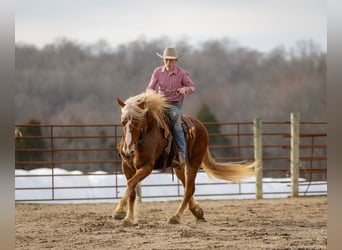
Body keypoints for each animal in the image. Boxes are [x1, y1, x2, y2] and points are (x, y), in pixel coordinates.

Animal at [113, 92, 255, 227]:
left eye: (137, 122)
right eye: (122, 123)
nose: (128, 151)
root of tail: (201, 126)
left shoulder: (146, 167)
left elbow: (131, 183)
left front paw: (119, 212)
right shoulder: (126, 167)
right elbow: (132, 190)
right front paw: (128, 219)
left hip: (193, 164)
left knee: (189, 189)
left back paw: (176, 217)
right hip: (179, 167)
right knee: (187, 186)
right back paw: (197, 212)